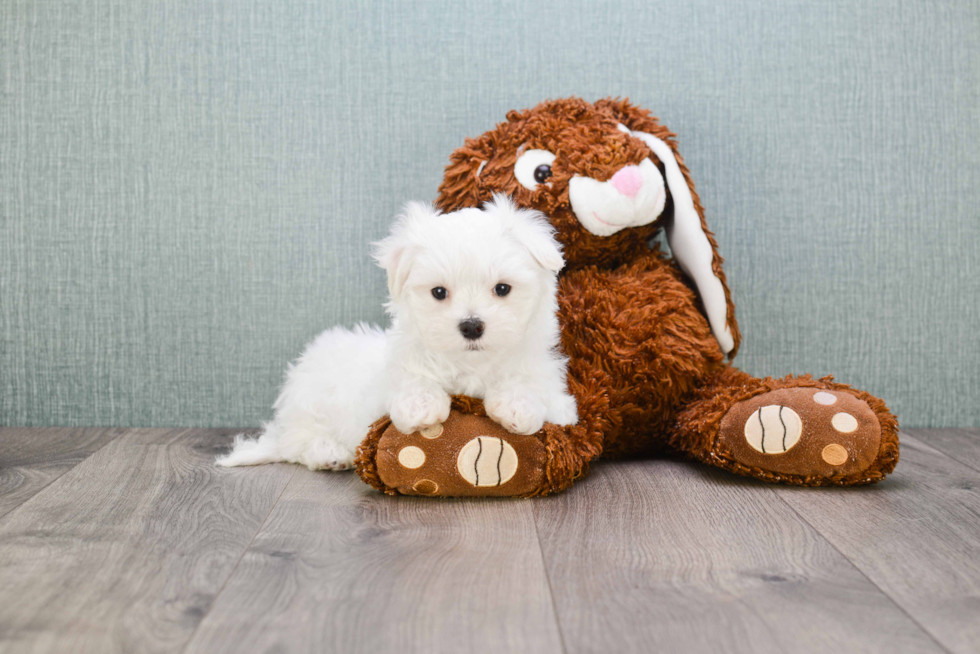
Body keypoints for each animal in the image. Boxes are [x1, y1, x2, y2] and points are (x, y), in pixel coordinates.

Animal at [218, 193, 580, 472]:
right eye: (438, 292)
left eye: (502, 289)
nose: (471, 325)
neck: (470, 364)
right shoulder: (389, 379)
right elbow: (409, 378)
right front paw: (421, 407)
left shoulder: (558, 396)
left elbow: (531, 385)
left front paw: (517, 405)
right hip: (311, 399)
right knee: (297, 441)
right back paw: (329, 453)